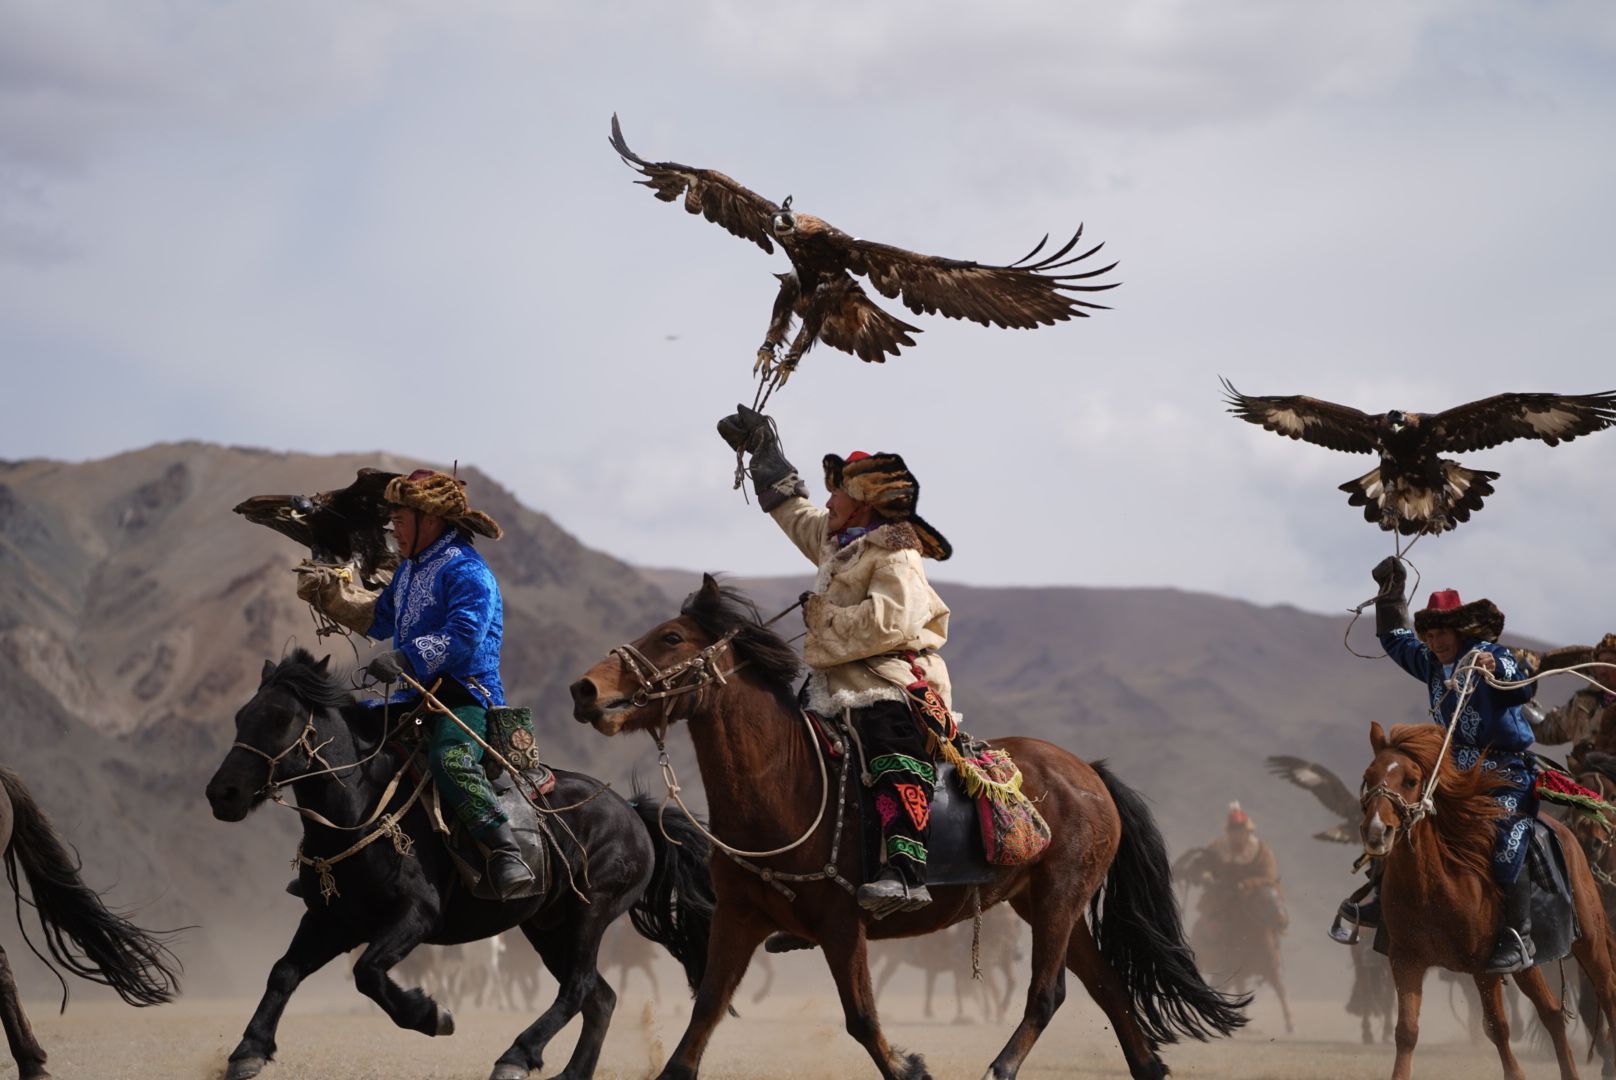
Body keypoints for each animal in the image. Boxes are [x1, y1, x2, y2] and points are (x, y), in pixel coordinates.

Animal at [204, 649, 716, 1080]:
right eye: (241, 717)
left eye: (281, 718)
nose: (222, 793)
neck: (362, 808)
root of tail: (631, 811)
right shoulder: (334, 919)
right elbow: (283, 971)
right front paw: (248, 1051)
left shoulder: (416, 915)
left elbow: (368, 972)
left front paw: (431, 1016)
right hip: (548, 927)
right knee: (600, 999)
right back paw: (569, 1073)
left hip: (590, 912)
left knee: (579, 987)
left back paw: (516, 1055)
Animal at [569, 576, 1247, 1080]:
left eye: (671, 637)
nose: (584, 690)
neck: (788, 788)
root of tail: (1091, 774)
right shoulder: (740, 917)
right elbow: (704, 1016)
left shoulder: (843, 925)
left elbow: (863, 1020)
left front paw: (911, 1065)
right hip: (1043, 902)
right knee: (1106, 985)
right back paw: (1146, 1067)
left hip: (1059, 897)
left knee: (1047, 993)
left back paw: (1000, 1068)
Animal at [1359, 720, 1616, 1079]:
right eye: (1369, 776)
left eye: (1410, 780)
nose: (1376, 831)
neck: (1435, 882)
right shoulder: (1406, 960)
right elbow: (1406, 1031)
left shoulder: (1484, 967)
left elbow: (1497, 1027)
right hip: (1527, 962)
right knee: (1552, 1012)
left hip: (1590, 942)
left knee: (1607, 994)